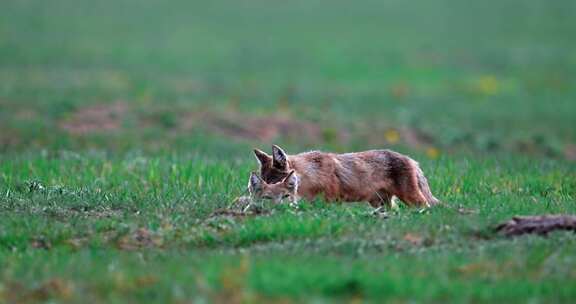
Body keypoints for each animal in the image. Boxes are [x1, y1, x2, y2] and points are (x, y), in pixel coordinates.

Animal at [254, 145, 438, 209]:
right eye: (264, 182)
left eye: (274, 182)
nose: (255, 197)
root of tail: (411, 159)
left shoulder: (331, 201)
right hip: (380, 204)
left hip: (412, 199)